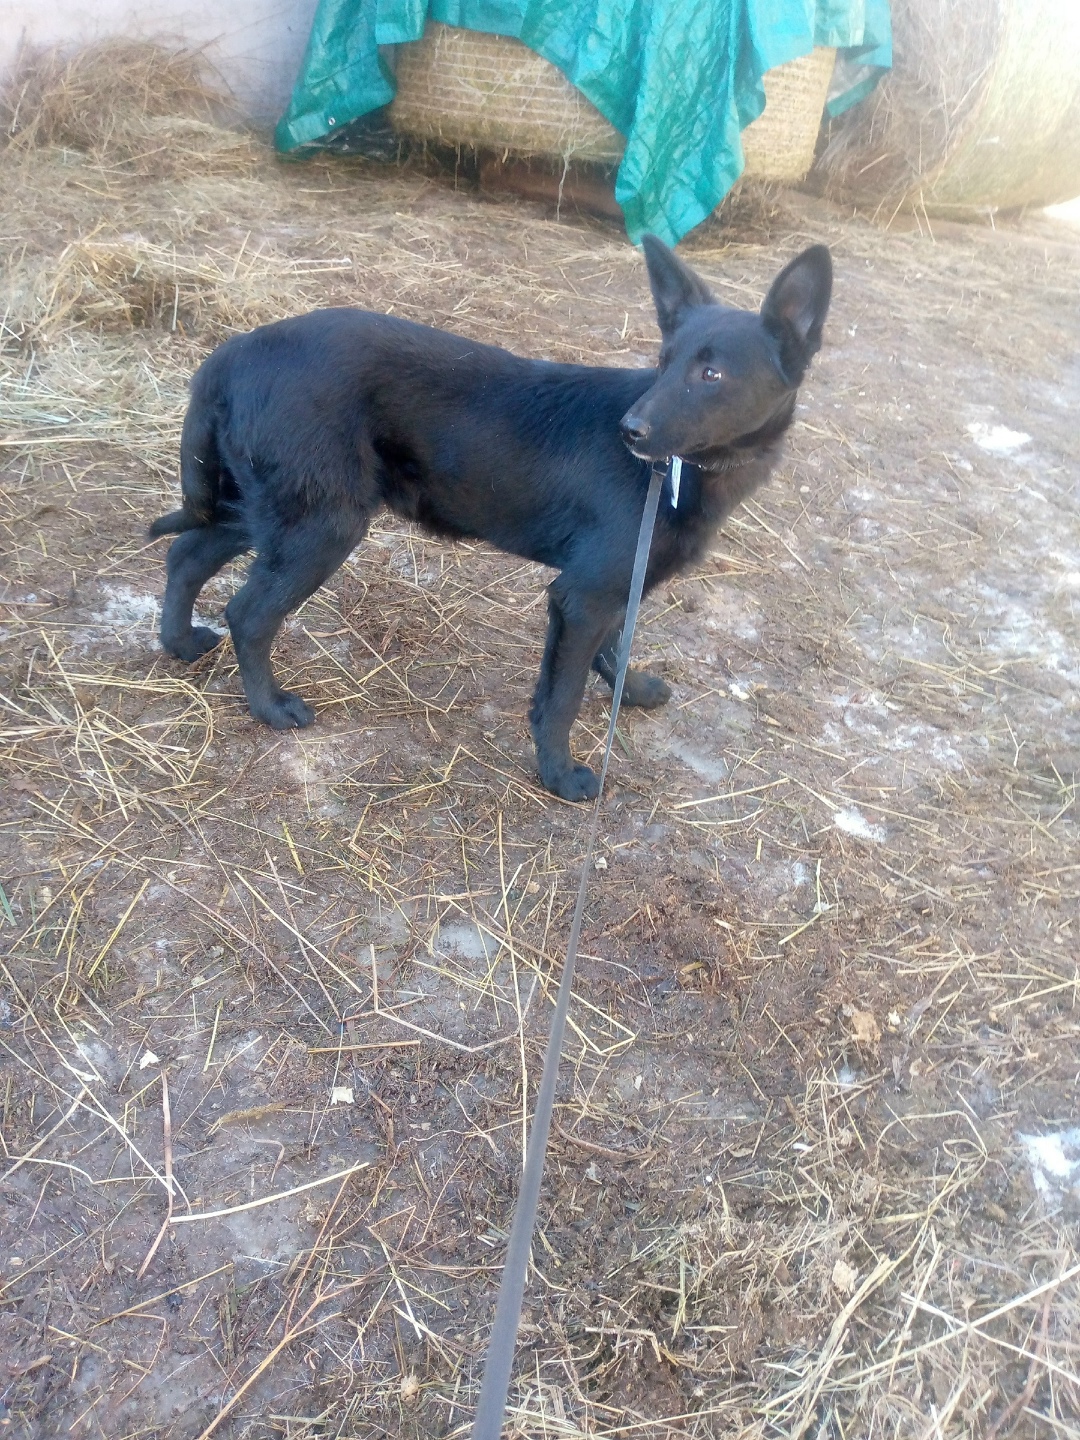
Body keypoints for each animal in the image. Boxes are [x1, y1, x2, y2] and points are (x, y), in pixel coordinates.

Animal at [150, 237, 832, 801]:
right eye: (665, 361)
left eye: (711, 374)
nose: (630, 431)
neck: (683, 473)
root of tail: (233, 351)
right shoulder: (584, 594)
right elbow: (561, 696)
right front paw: (559, 775)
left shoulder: (616, 584)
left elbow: (616, 644)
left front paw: (630, 691)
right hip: (321, 525)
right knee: (249, 613)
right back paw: (270, 708)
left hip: (267, 508)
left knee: (185, 554)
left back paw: (179, 643)